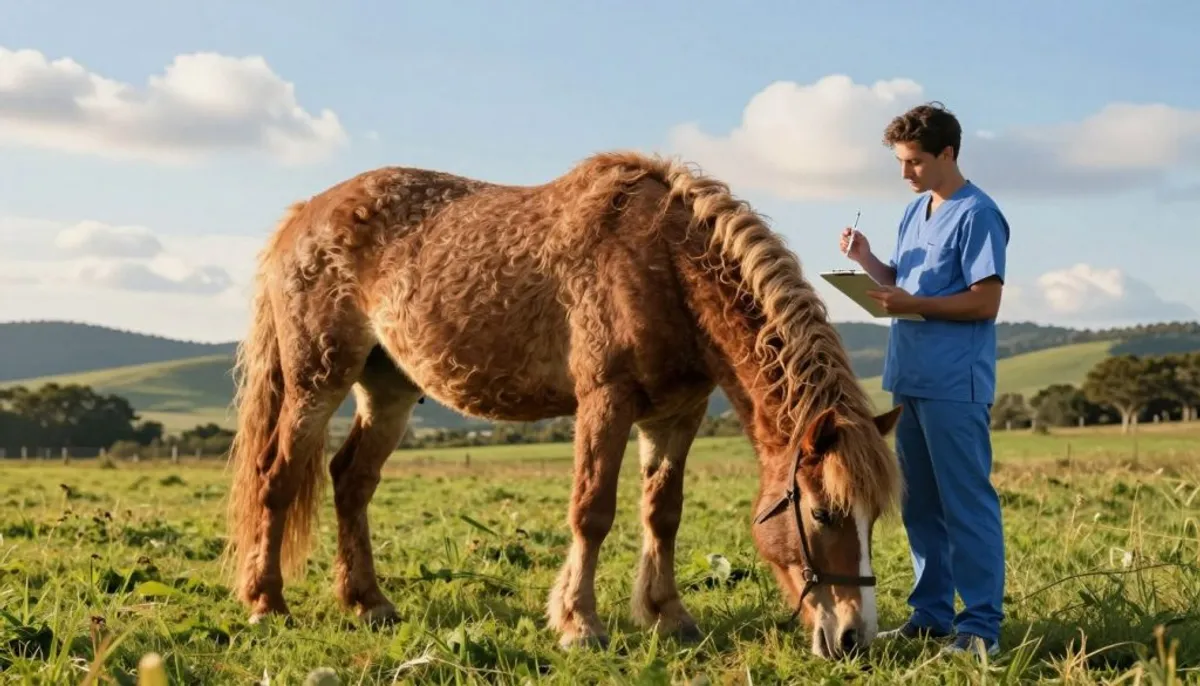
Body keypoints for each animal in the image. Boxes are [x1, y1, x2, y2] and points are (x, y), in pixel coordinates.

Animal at [222, 150, 903, 659]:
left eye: (874, 518)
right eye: (823, 514)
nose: (855, 637)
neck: (663, 261)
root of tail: (303, 215)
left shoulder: (676, 414)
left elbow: (663, 515)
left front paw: (667, 615)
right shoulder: (605, 400)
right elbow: (592, 512)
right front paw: (580, 624)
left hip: (387, 390)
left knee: (351, 481)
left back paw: (369, 602)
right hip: (316, 381)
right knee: (278, 479)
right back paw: (266, 603)